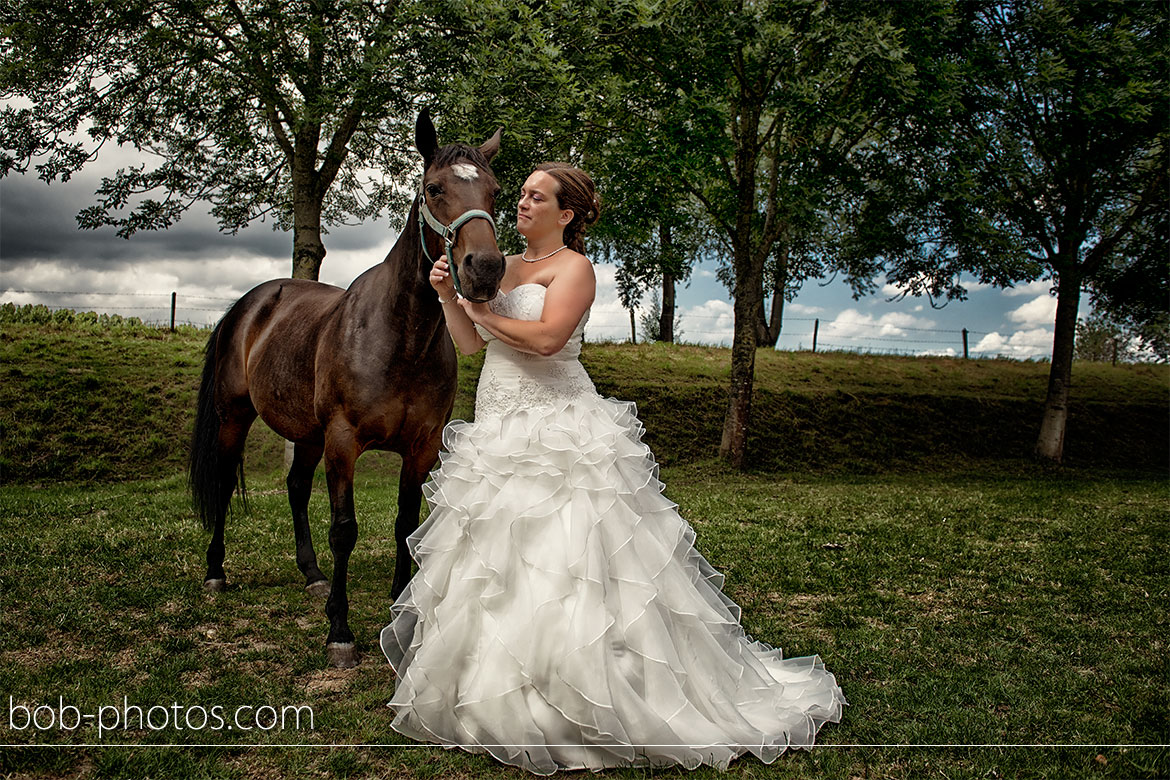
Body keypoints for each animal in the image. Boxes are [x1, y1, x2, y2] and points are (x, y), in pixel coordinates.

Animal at [189, 112, 505, 668]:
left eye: (495, 191)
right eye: (435, 188)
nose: (484, 271)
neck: (401, 337)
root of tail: (250, 305)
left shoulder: (421, 447)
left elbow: (406, 523)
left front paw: (404, 609)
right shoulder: (343, 442)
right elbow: (344, 529)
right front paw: (339, 630)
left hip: (307, 434)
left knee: (296, 487)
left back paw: (312, 575)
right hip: (235, 417)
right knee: (225, 485)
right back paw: (216, 571)